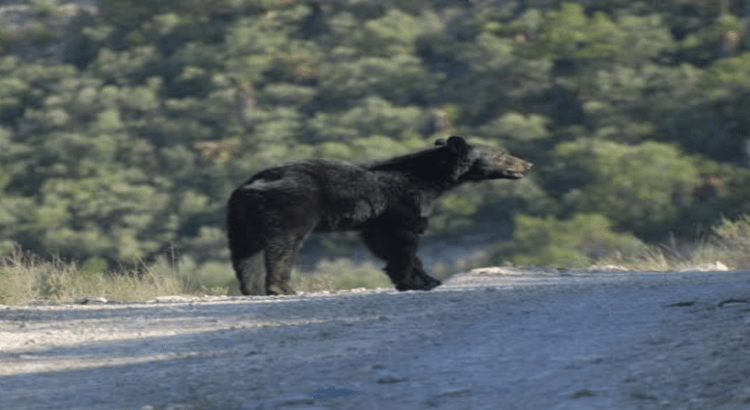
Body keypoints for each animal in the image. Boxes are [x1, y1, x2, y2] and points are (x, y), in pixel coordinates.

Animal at [226, 135, 533, 296]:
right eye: (502, 155)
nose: (528, 164)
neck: (430, 179)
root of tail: (251, 186)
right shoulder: (403, 203)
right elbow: (402, 240)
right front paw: (409, 281)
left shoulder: (378, 218)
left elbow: (382, 242)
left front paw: (428, 279)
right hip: (289, 207)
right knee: (282, 245)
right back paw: (281, 287)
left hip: (239, 218)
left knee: (244, 253)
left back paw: (251, 288)